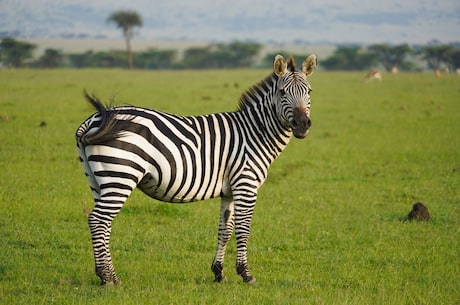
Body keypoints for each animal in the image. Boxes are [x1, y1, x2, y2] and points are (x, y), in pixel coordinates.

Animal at [76, 53, 316, 284]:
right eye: (283, 92)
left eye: (309, 91)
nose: (302, 125)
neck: (254, 132)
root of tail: (95, 119)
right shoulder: (246, 185)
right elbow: (243, 230)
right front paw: (246, 274)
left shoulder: (229, 191)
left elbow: (225, 230)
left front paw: (218, 273)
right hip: (120, 175)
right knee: (99, 221)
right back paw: (108, 277)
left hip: (98, 180)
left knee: (102, 223)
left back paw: (108, 275)